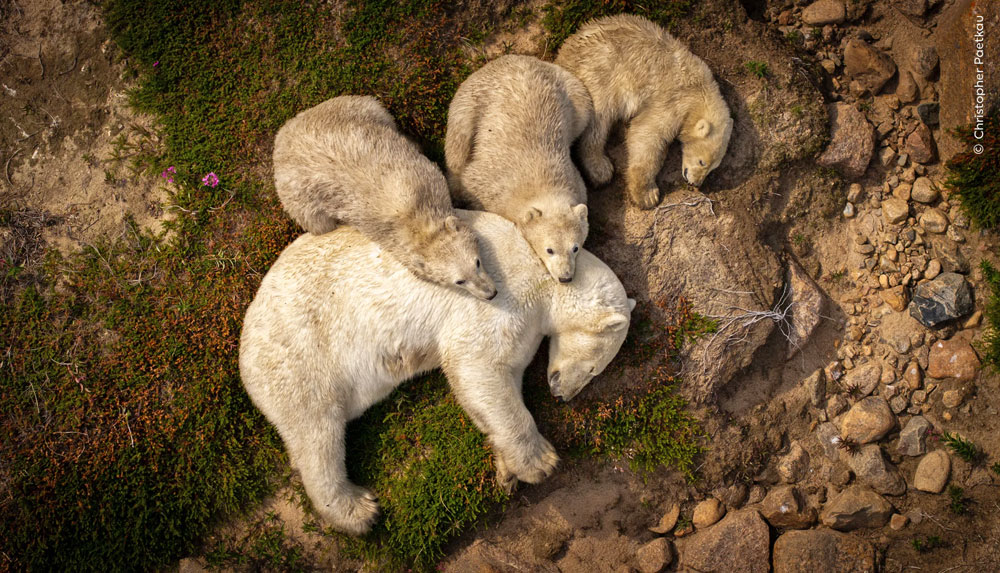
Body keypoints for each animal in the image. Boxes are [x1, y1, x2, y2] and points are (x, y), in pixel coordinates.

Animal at [239, 209, 634, 536]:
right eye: (595, 367)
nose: (563, 395)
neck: (543, 268)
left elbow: (496, 385)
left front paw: (506, 471)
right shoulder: (503, 294)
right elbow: (476, 363)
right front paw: (539, 462)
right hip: (302, 353)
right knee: (317, 432)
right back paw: (357, 509)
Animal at [272, 95, 497, 300]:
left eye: (477, 263)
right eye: (459, 281)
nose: (490, 294)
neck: (414, 217)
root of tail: (282, 136)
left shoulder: (426, 175)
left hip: (347, 109)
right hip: (298, 197)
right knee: (318, 223)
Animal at [445, 55, 593, 284]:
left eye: (575, 248)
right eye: (550, 250)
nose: (565, 277)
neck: (542, 178)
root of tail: (516, 58)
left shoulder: (576, 181)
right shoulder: (489, 183)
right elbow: (468, 183)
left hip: (572, 93)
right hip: (471, 100)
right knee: (457, 145)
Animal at [555, 14, 734, 209]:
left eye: (713, 168)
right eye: (702, 162)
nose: (695, 183)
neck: (699, 91)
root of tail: (563, 55)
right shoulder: (673, 100)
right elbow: (646, 134)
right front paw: (648, 195)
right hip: (598, 74)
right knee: (598, 120)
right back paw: (600, 168)